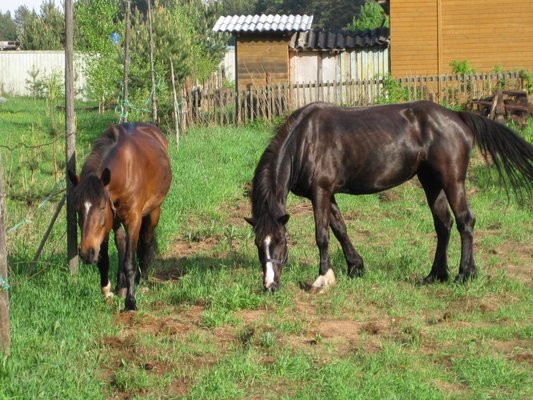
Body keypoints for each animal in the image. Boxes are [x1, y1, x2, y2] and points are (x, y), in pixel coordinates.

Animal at [68, 123, 172, 310]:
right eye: (78, 208)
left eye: (102, 207)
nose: (86, 253)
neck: (126, 171)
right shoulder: (108, 224)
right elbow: (104, 259)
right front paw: (106, 291)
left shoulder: (133, 219)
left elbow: (130, 261)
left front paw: (131, 301)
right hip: (116, 220)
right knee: (121, 242)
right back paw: (121, 285)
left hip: (154, 210)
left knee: (146, 240)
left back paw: (142, 280)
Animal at [246, 101, 533, 292]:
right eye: (259, 244)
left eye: (281, 241)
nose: (269, 285)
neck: (304, 141)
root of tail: (457, 116)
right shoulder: (329, 193)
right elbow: (340, 228)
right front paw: (355, 266)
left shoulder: (321, 191)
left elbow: (322, 234)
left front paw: (322, 278)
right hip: (431, 182)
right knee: (444, 224)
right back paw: (436, 275)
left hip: (452, 181)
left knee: (465, 221)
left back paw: (464, 275)